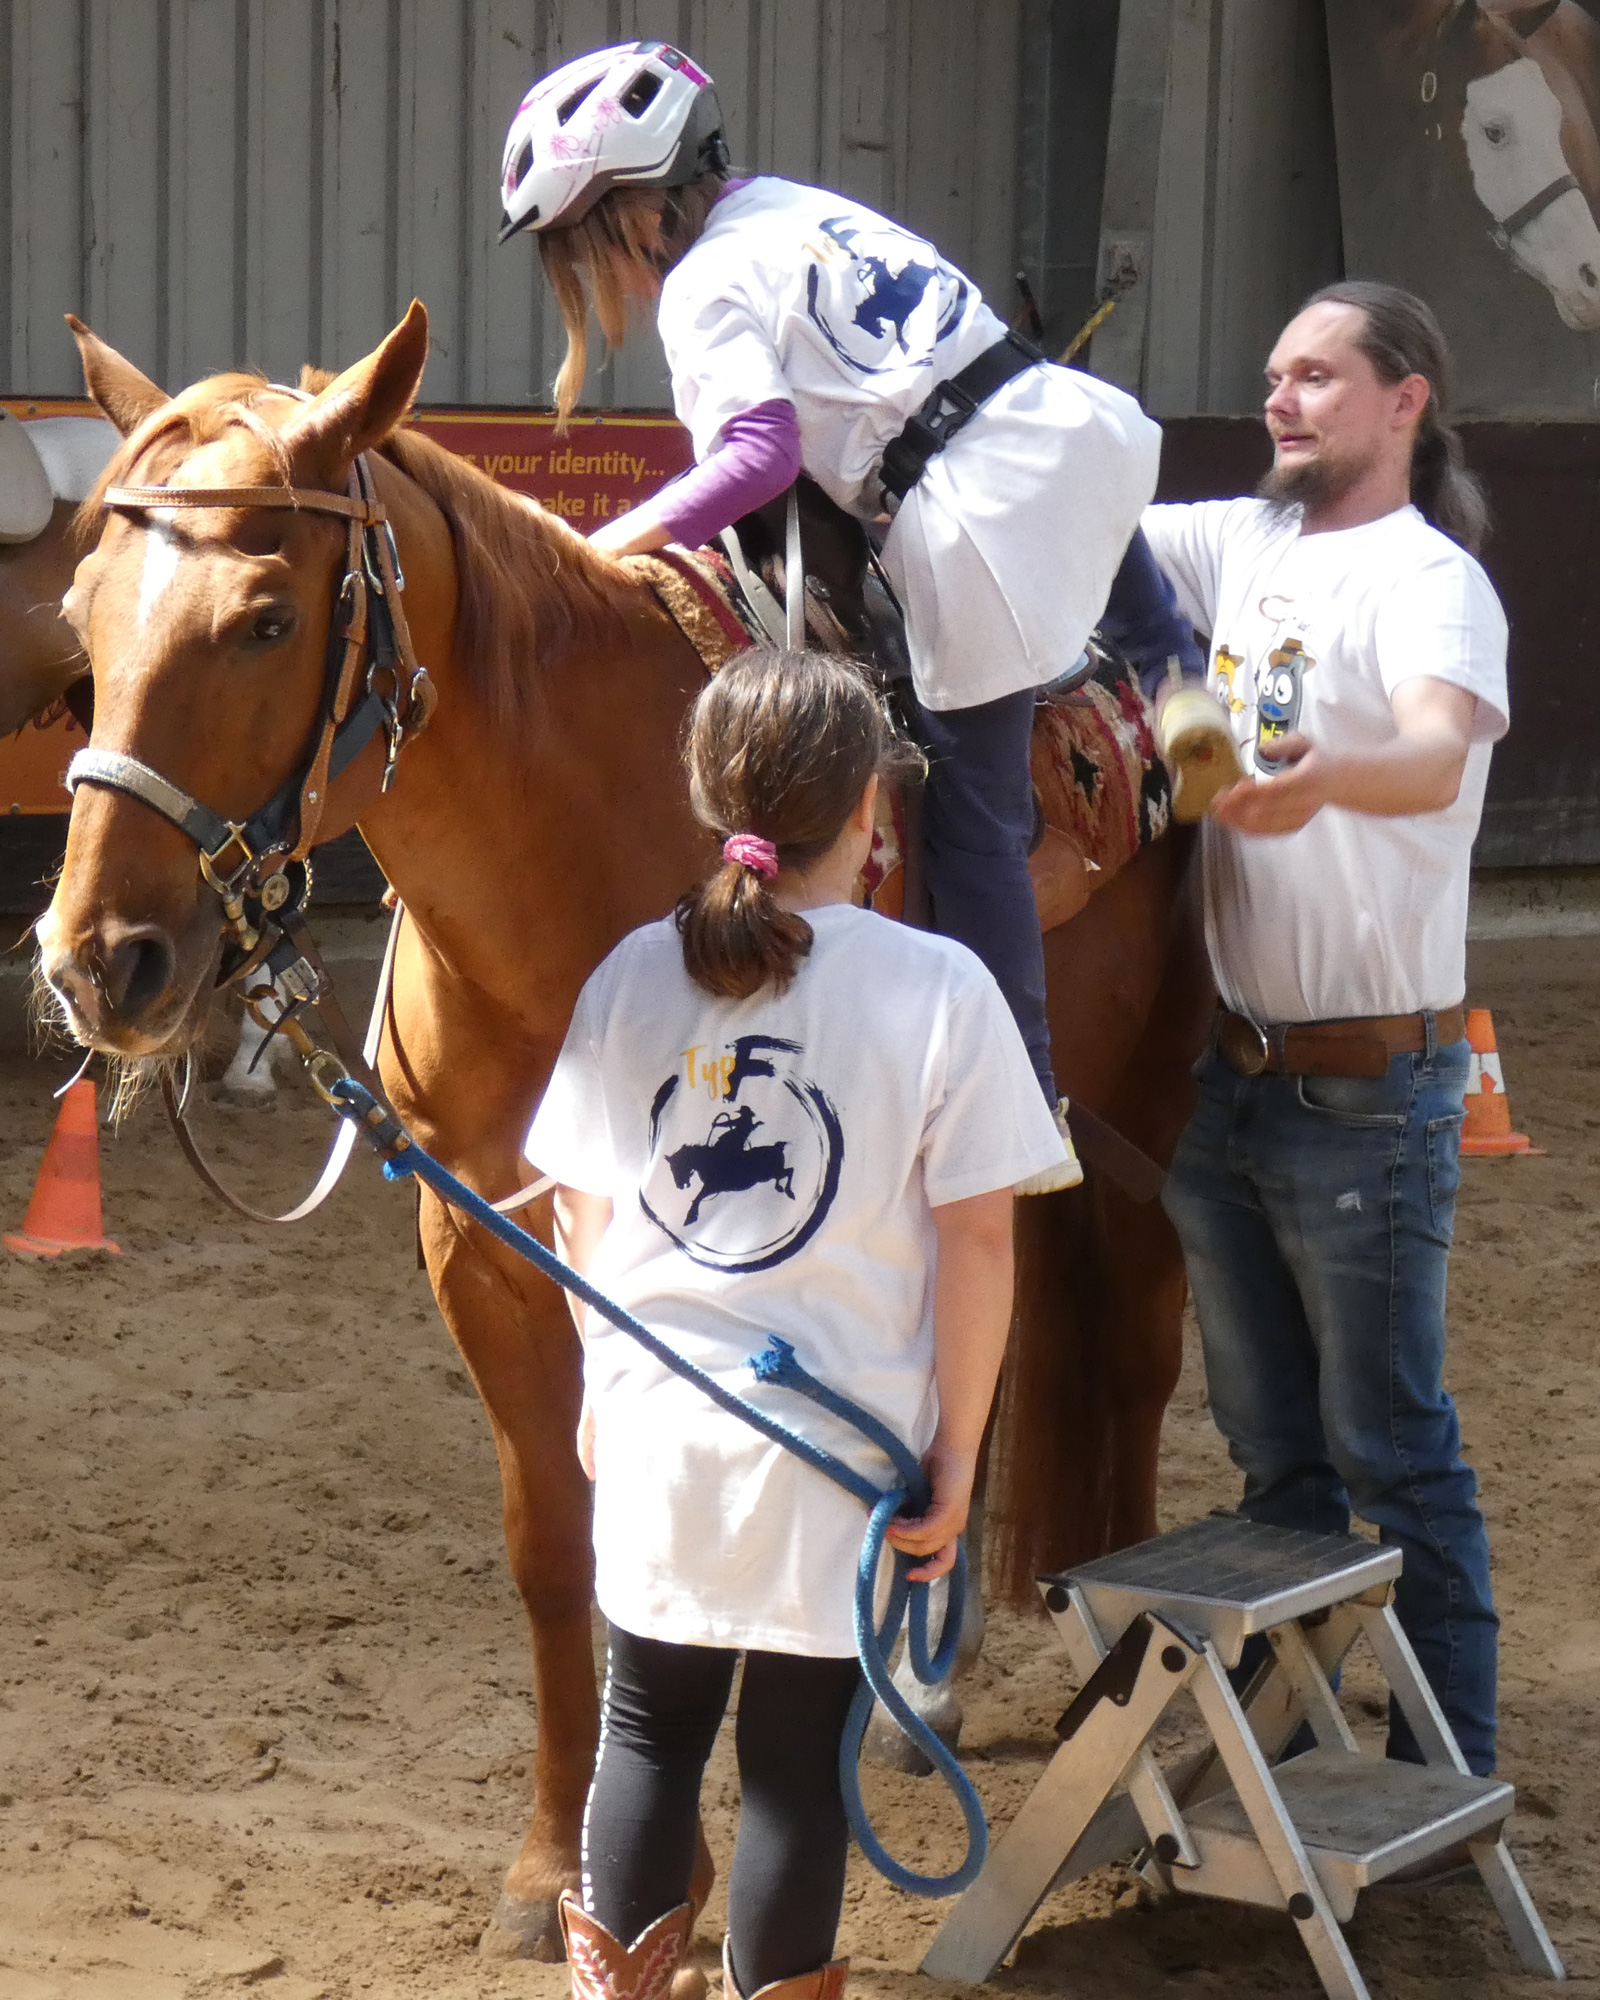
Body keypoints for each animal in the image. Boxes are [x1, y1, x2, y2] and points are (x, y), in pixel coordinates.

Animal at [34, 304, 1216, 1960]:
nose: (101, 961)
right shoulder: (476, 1236)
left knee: (1135, 1339)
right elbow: (557, 1549)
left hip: (1153, 1094)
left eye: (266, 618)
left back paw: (1106, 1674)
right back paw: (940, 1676)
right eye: (82, 612)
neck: (575, 866)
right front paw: (554, 1870)